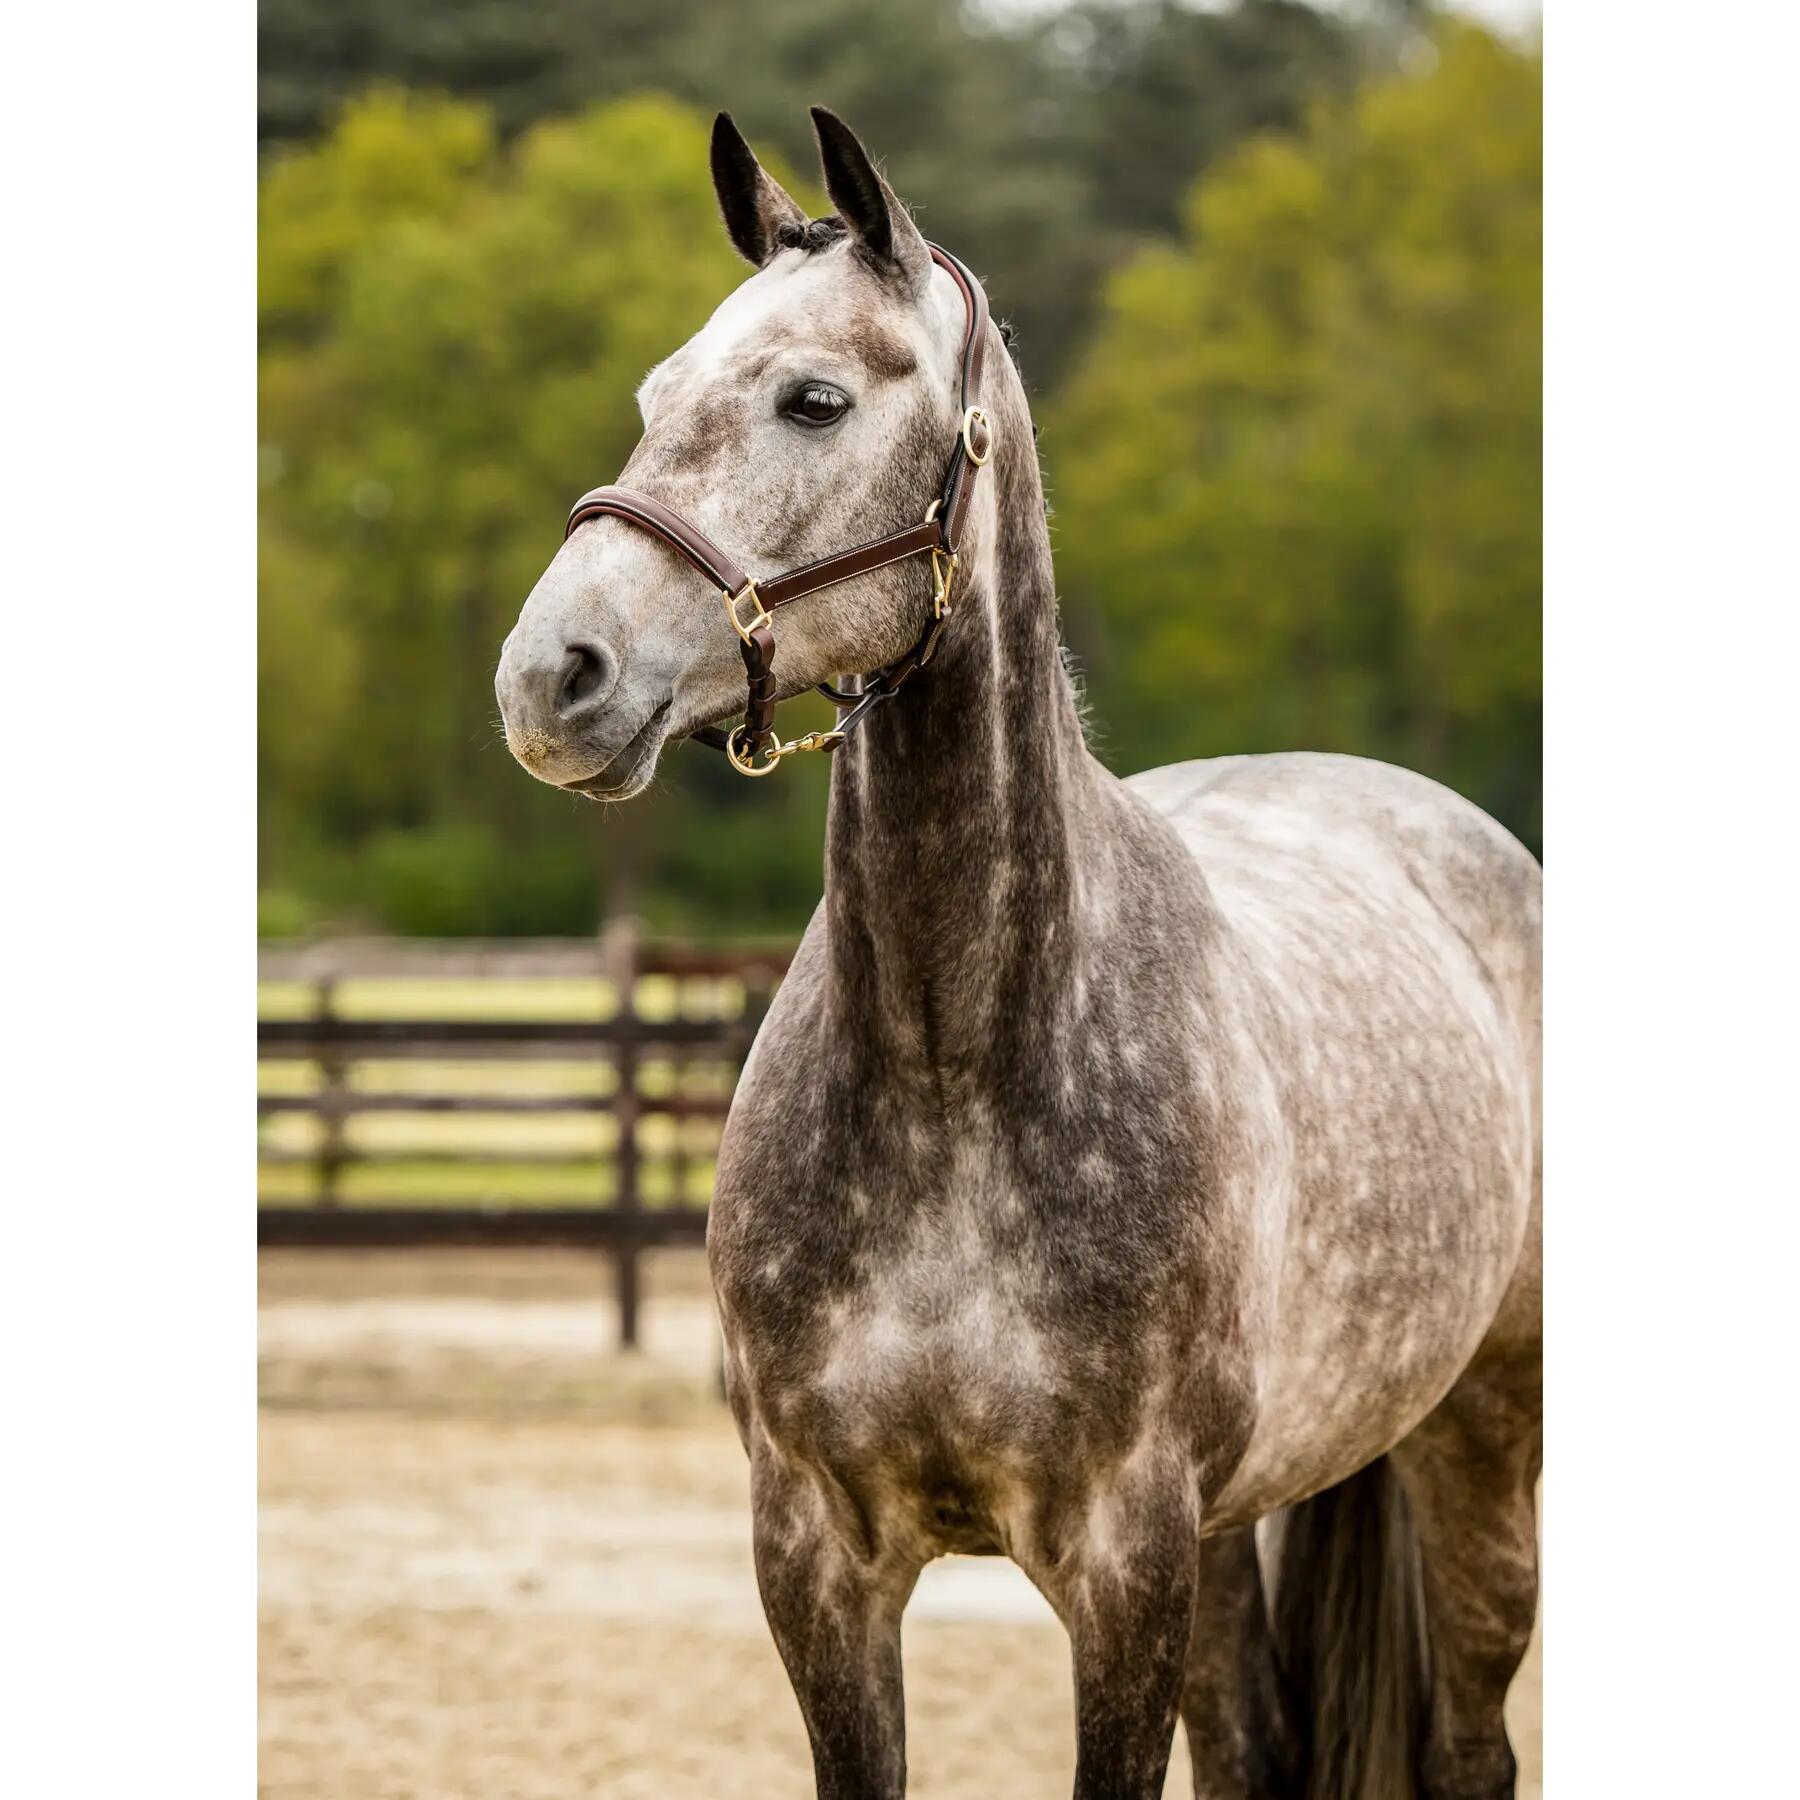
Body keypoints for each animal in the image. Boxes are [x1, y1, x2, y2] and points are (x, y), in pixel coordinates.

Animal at [495, 108, 1541, 1800]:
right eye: (656, 395)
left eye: (812, 398)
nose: (552, 678)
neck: (954, 1067)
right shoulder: (819, 1560)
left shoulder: (1124, 1565)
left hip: (1482, 1439)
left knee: (1468, 1751)